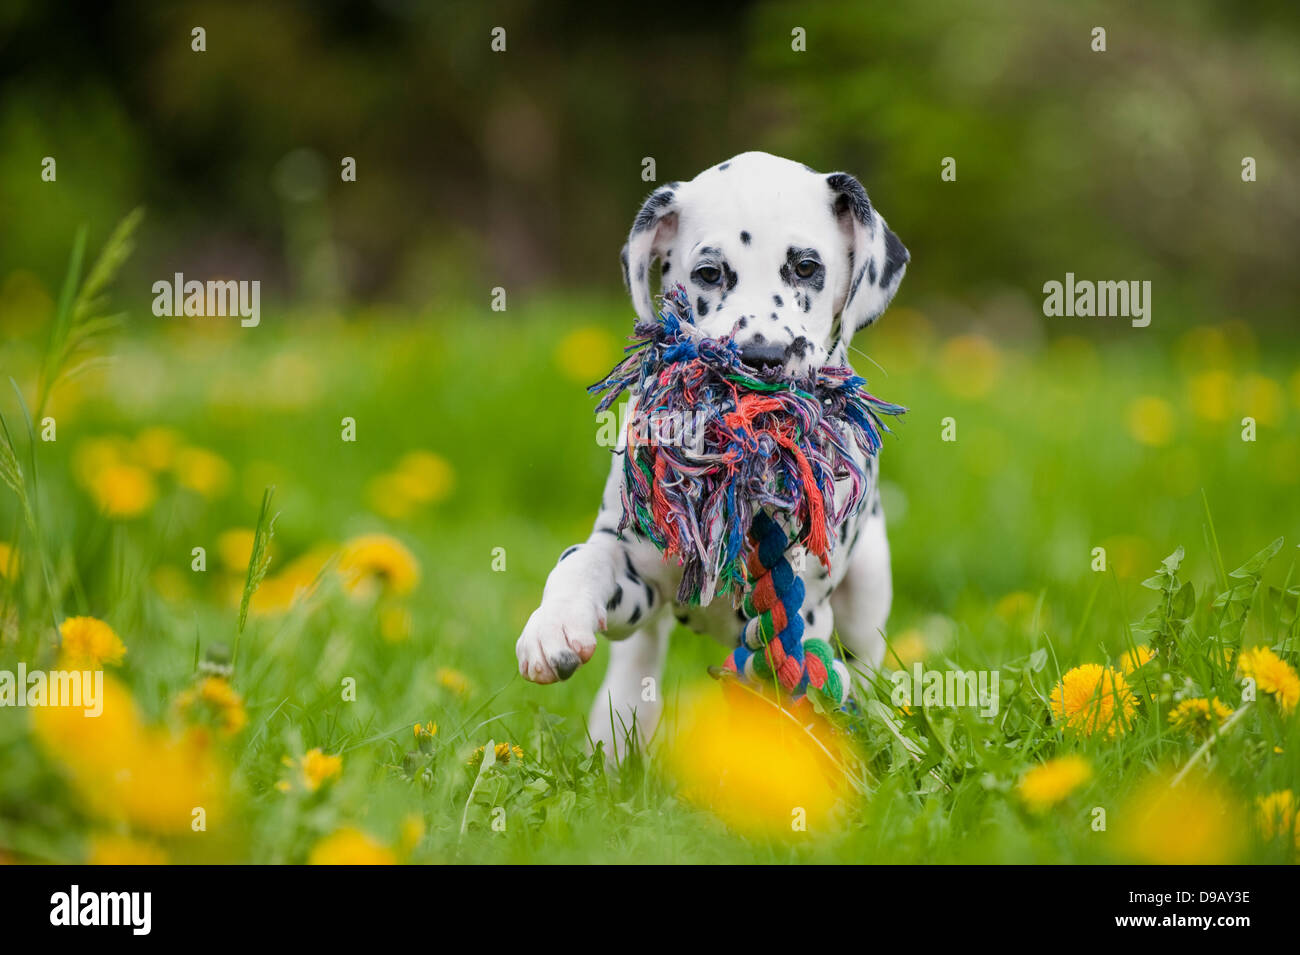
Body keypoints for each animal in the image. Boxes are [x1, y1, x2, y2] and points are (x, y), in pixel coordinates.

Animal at [512, 151, 909, 764]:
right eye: (709, 273)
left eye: (806, 268)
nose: (762, 357)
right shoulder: (633, 568)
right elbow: (582, 561)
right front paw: (553, 625)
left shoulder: (800, 611)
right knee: (637, 667)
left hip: (868, 591)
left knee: (863, 668)